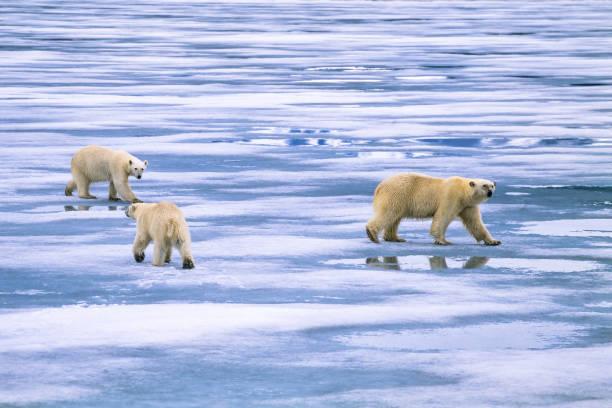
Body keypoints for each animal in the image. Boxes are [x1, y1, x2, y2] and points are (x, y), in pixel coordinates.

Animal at [366, 172, 500, 245]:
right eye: (484, 186)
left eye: (492, 186)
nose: (490, 192)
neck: (463, 191)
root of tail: (379, 186)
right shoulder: (451, 197)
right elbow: (443, 216)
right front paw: (443, 241)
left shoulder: (467, 205)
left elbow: (474, 222)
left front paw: (493, 241)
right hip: (397, 194)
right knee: (389, 213)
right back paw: (372, 234)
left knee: (394, 218)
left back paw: (395, 238)